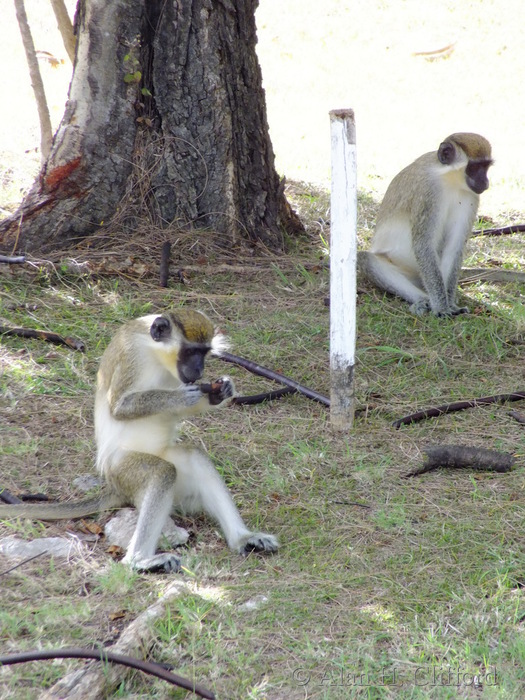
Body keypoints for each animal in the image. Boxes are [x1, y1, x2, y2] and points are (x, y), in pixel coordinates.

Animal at [0, 309, 279, 572]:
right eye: (190, 351)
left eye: (204, 352)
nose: (199, 370)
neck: (156, 352)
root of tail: (114, 487)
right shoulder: (130, 354)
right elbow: (120, 407)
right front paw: (181, 397)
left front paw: (221, 391)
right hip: (124, 472)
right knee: (162, 472)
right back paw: (139, 561)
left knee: (193, 457)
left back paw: (243, 538)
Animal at [358, 133, 495, 316]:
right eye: (474, 167)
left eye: (485, 167)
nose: (485, 182)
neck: (448, 179)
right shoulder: (428, 192)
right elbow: (424, 244)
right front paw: (441, 308)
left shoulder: (471, 197)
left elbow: (454, 247)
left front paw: (450, 304)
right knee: (367, 260)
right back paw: (423, 300)